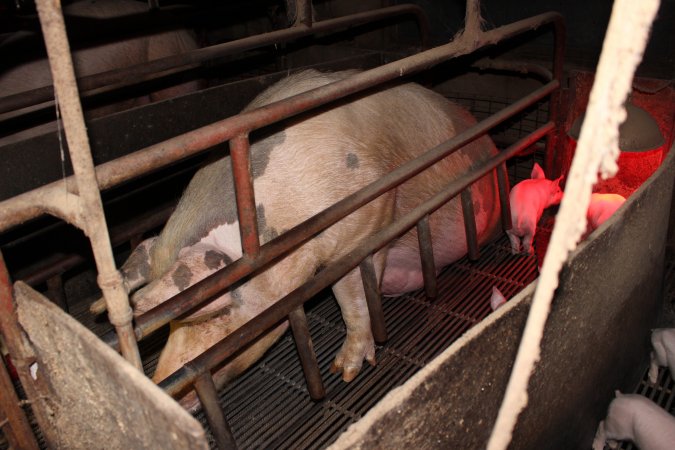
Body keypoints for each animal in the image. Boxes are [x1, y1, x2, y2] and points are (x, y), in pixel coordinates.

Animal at [109, 68, 502, 406]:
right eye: (171, 323)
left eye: (212, 316)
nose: (167, 391)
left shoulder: (369, 219)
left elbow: (352, 295)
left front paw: (344, 372)